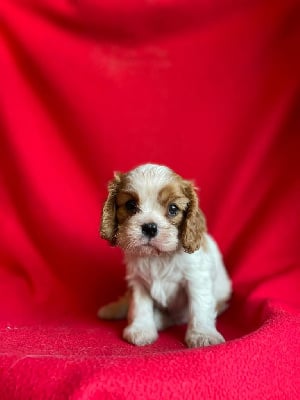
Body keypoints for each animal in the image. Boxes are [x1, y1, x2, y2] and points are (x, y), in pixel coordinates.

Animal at [99, 162, 232, 346]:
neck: (158, 256)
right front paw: (141, 329)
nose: (149, 227)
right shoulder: (138, 282)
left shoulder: (196, 279)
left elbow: (200, 306)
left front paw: (202, 334)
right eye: (130, 205)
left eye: (173, 208)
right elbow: (140, 306)